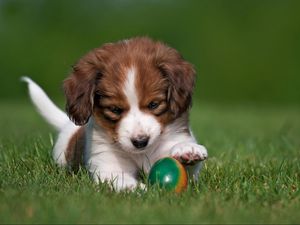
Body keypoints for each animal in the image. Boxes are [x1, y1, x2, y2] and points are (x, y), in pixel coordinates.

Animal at [22, 37, 206, 192]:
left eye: (154, 104)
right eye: (115, 109)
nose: (141, 142)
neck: (140, 154)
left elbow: (188, 169)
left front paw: (187, 150)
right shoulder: (107, 166)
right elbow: (120, 180)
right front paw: (141, 190)